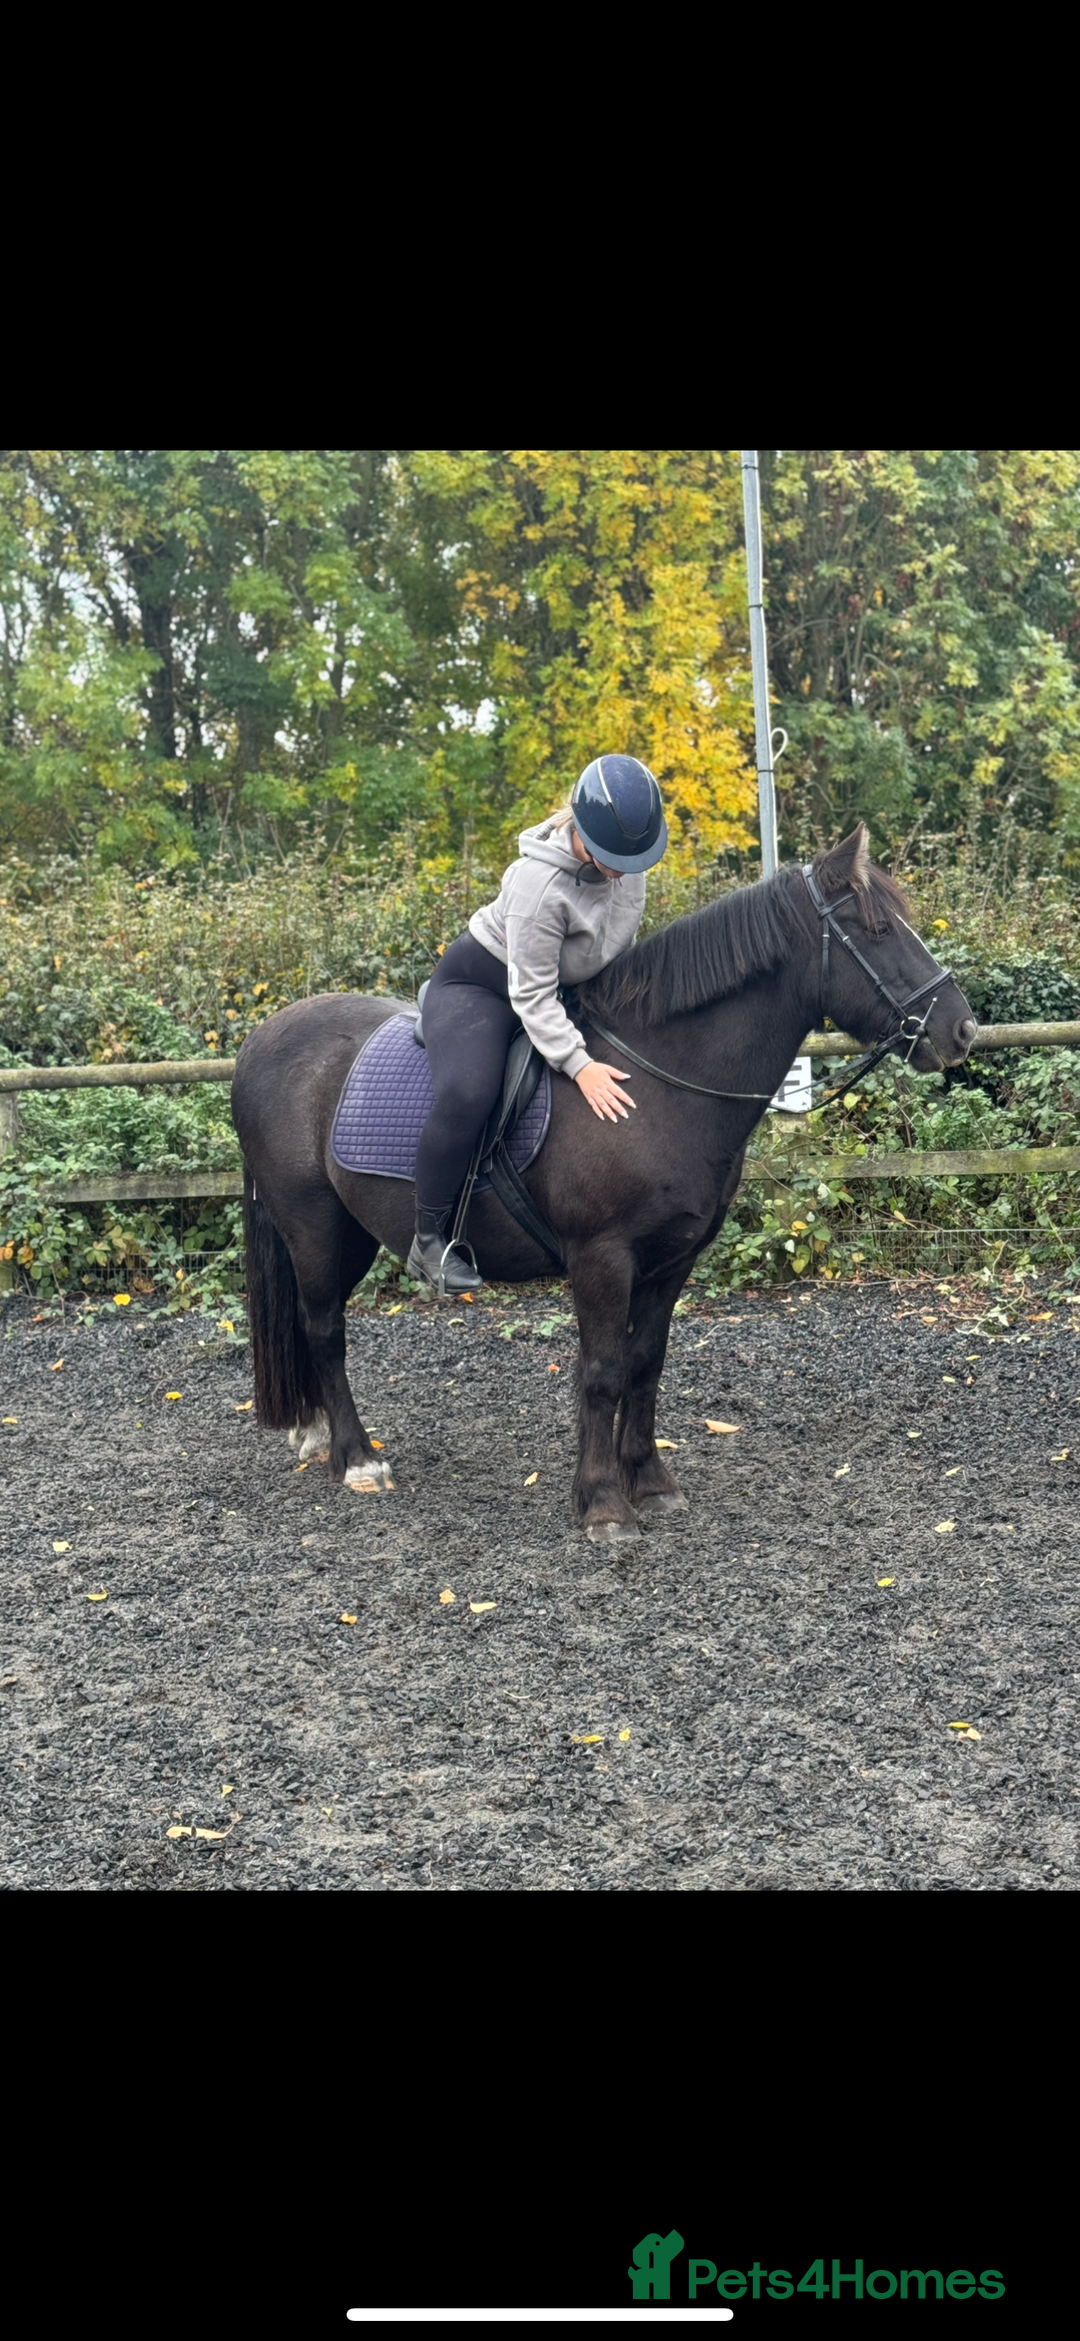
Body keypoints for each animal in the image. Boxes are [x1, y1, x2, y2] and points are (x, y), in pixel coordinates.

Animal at [231, 825, 975, 1543]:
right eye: (875, 929)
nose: (961, 1028)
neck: (656, 1084)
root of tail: (261, 1039)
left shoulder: (671, 1261)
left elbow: (645, 1364)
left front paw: (648, 1480)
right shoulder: (601, 1258)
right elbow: (601, 1373)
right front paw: (603, 1505)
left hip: (349, 1233)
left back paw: (317, 1433)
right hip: (313, 1227)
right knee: (324, 1330)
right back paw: (357, 1457)